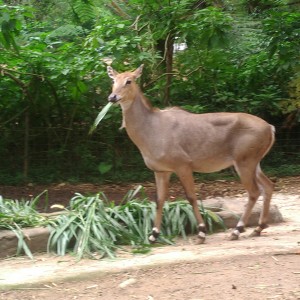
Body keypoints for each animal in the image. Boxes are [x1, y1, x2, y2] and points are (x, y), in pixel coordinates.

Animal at [106, 64, 276, 243]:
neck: (151, 130)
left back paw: (237, 230)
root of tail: (270, 128)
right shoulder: (161, 170)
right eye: (113, 80)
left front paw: (201, 232)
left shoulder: (183, 165)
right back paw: (258, 228)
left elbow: (191, 196)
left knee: (254, 192)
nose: (112, 97)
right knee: (268, 185)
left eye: (129, 81)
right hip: (254, 161)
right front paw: (153, 235)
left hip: (244, 160)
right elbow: (159, 200)